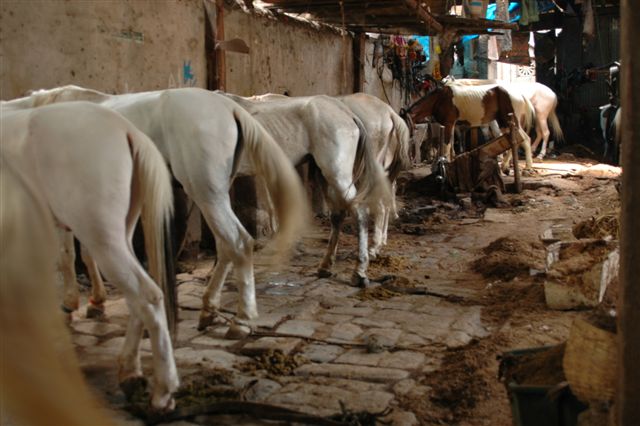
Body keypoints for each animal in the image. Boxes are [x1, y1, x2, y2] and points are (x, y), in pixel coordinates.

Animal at [5, 85, 308, 336]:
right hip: (213, 195)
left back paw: (241, 321)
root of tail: (229, 107)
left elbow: (67, 257)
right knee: (226, 248)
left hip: (205, 192)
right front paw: (96, 302)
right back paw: (208, 310)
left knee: (239, 243)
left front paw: (69, 305)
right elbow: (88, 255)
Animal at [221, 91, 390, 288]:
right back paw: (325, 266)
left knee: (360, 213)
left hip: (338, 175)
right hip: (324, 176)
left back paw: (359, 273)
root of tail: (347, 113)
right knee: (337, 215)